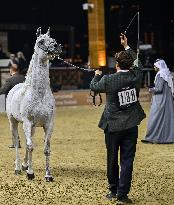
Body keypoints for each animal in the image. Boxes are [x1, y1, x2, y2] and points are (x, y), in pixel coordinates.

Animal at [6, 27, 61, 181]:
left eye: (53, 39)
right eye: (41, 41)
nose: (57, 46)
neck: (39, 94)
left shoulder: (48, 124)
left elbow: (46, 149)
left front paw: (48, 175)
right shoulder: (27, 122)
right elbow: (31, 147)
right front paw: (30, 173)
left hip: (33, 127)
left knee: (25, 141)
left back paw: (24, 165)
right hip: (14, 122)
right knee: (17, 142)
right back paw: (18, 168)